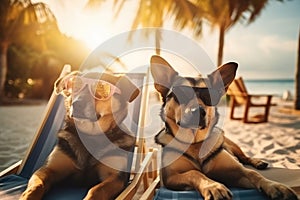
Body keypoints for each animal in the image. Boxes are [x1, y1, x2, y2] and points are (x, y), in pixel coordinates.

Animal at [150, 55, 298, 200]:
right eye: (182, 94)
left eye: (209, 96)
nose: (199, 111)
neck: (195, 143)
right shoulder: (171, 178)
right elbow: (195, 173)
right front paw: (213, 186)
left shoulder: (237, 172)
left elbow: (253, 174)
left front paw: (275, 186)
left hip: (232, 144)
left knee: (244, 157)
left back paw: (258, 162)